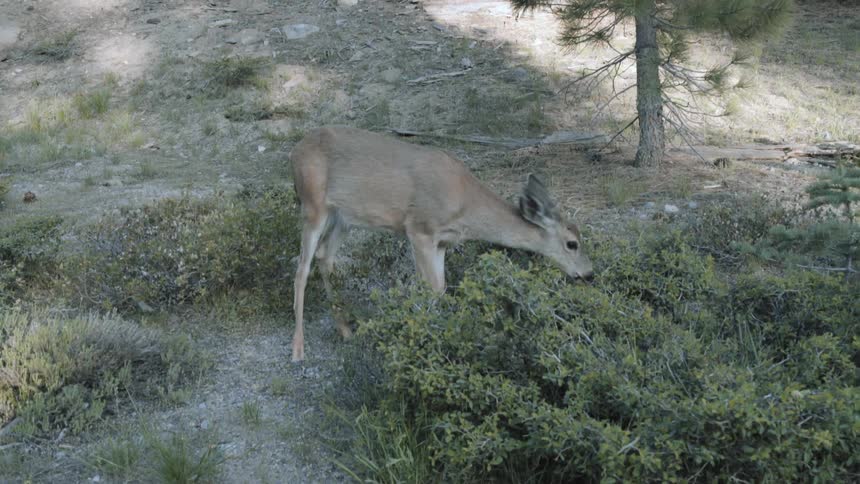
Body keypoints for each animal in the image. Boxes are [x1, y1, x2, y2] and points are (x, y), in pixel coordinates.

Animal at [289, 126, 593, 362]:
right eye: (572, 244)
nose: (589, 273)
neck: (465, 204)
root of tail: (297, 148)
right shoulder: (419, 229)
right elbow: (432, 289)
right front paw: (429, 345)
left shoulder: (442, 243)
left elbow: (441, 287)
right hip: (313, 205)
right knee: (301, 269)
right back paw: (298, 349)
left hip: (344, 218)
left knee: (325, 257)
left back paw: (346, 330)